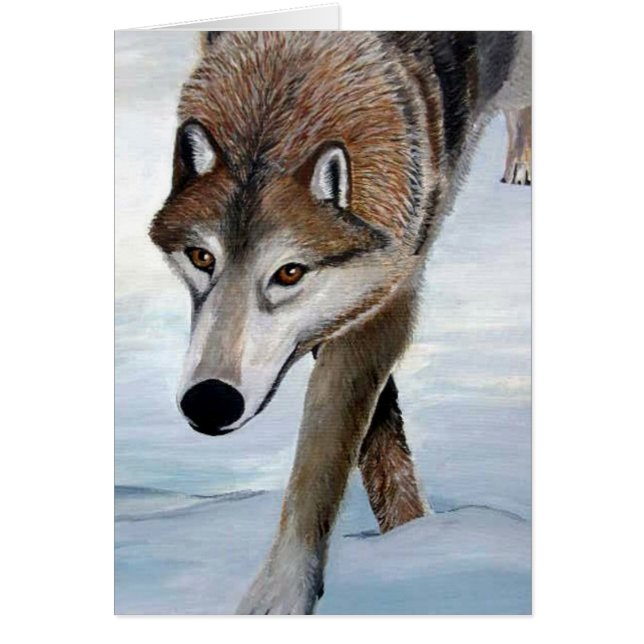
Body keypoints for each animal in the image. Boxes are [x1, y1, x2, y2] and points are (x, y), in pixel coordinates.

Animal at [149, 31, 531, 614]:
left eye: (289, 272)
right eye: (201, 257)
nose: (209, 403)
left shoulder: (385, 307)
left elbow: (321, 461)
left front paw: (282, 592)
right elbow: (381, 443)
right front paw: (410, 534)